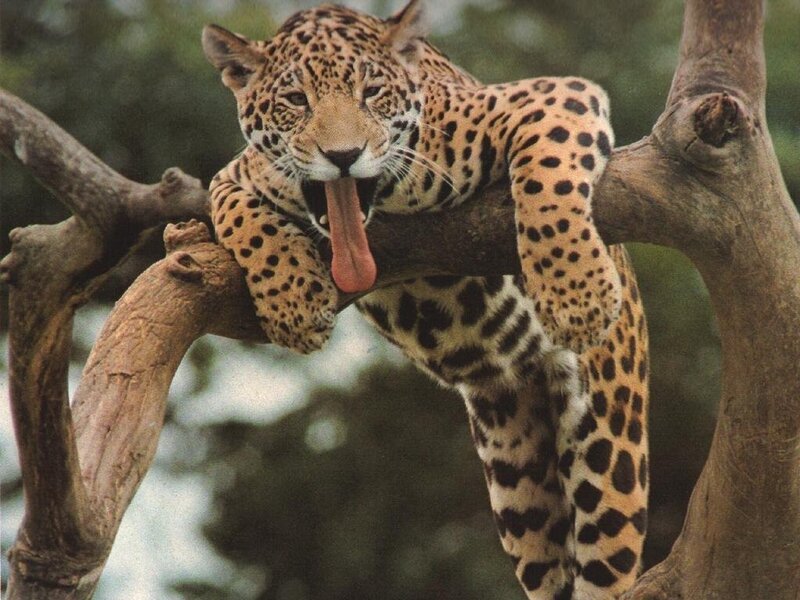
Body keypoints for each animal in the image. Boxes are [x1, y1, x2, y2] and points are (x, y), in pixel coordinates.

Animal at [202, 2, 649, 598]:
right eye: (296, 100)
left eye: (372, 93)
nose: (342, 156)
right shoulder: (233, 174)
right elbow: (239, 216)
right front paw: (292, 300)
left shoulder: (553, 94)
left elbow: (548, 179)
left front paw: (579, 293)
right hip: (515, 473)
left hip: (607, 441)